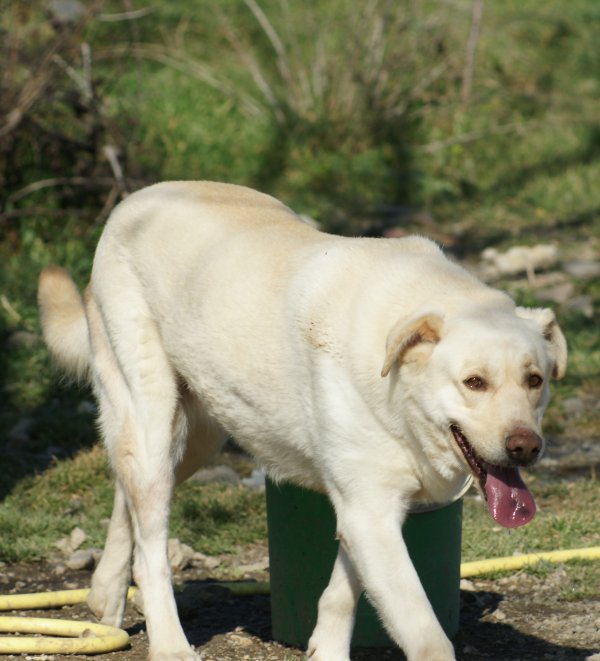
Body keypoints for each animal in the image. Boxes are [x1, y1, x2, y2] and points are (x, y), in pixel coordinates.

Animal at [38, 182, 568, 660]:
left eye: (535, 380)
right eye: (474, 382)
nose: (526, 447)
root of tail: (131, 201)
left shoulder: (360, 511)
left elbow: (340, 593)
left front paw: (325, 650)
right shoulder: (371, 513)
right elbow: (426, 636)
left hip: (193, 440)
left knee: (124, 492)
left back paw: (104, 595)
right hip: (153, 417)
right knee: (151, 550)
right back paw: (169, 646)